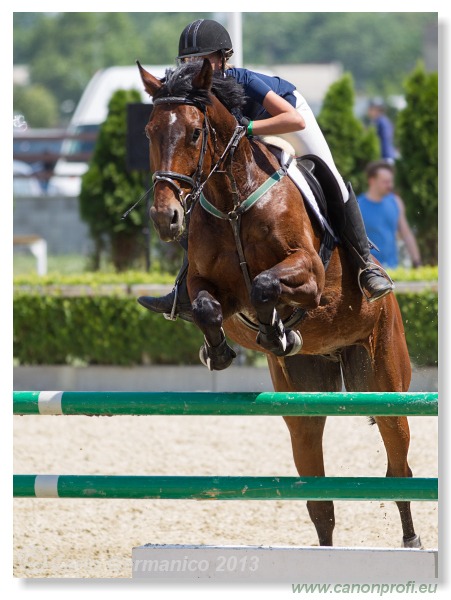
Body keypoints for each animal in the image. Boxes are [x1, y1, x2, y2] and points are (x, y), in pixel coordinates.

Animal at [136, 59, 422, 548]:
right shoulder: (203, 284)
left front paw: (276, 329)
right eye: (150, 131)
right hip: (302, 405)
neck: (232, 201)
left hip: (385, 379)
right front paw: (220, 352)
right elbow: (209, 306)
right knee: (320, 498)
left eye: (195, 133)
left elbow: (265, 285)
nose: (165, 218)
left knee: (398, 466)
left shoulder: (308, 274)